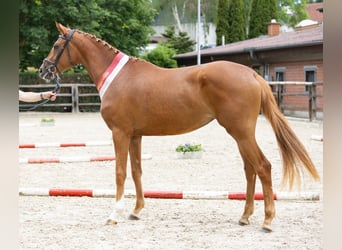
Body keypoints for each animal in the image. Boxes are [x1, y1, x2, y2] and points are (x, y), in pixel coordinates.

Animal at [38, 23, 320, 230]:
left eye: (56, 45)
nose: (43, 70)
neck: (119, 77)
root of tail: (252, 74)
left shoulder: (120, 133)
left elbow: (120, 172)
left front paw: (114, 214)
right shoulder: (135, 136)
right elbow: (137, 171)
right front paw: (136, 210)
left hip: (241, 133)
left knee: (263, 167)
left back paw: (268, 219)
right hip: (240, 135)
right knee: (250, 170)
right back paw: (245, 216)